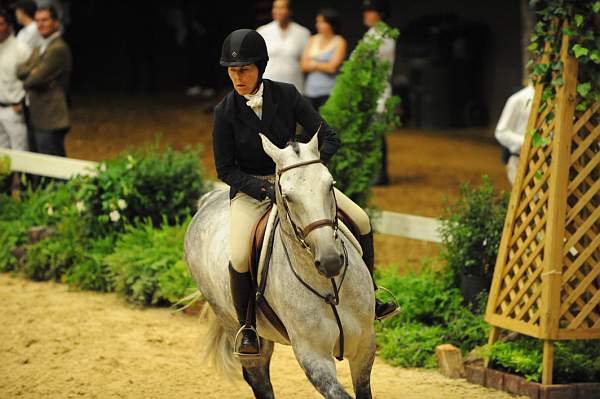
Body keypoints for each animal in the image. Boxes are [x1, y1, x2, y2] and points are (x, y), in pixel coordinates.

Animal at [185, 133, 376, 398]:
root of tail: (209, 199)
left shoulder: (364, 347)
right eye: (287, 197)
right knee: (259, 379)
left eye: (330, 185)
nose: (330, 261)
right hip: (235, 326)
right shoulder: (314, 357)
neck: (329, 287)